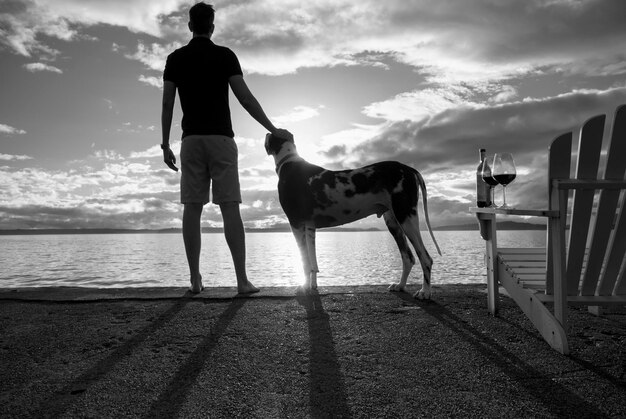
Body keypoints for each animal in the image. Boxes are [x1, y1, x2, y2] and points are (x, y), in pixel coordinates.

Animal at [262, 135, 438, 298]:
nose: (266, 135)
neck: (290, 164)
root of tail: (409, 168)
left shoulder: (296, 223)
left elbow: (305, 261)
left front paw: (303, 288)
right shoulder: (310, 227)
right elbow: (313, 263)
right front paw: (312, 287)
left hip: (406, 218)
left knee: (425, 258)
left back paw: (425, 292)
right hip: (394, 223)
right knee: (408, 257)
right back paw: (400, 286)